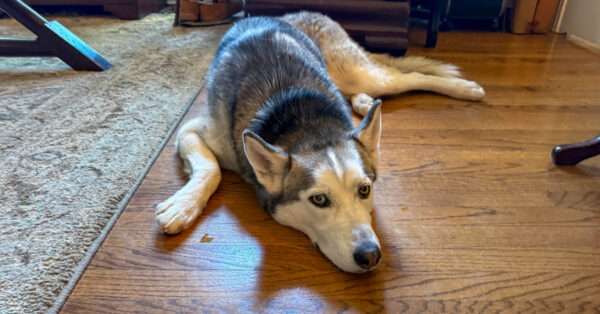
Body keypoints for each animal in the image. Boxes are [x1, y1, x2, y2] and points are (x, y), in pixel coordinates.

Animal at [155, 12, 482, 272]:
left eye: (364, 190)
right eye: (319, 200)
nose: (370, 256)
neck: (302, 118)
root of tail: (292, 13)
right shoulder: (193, 131)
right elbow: (211, 169)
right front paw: (182, 206)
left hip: (360, 72)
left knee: (408, 76)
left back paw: (465, 88)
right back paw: (364, 103)